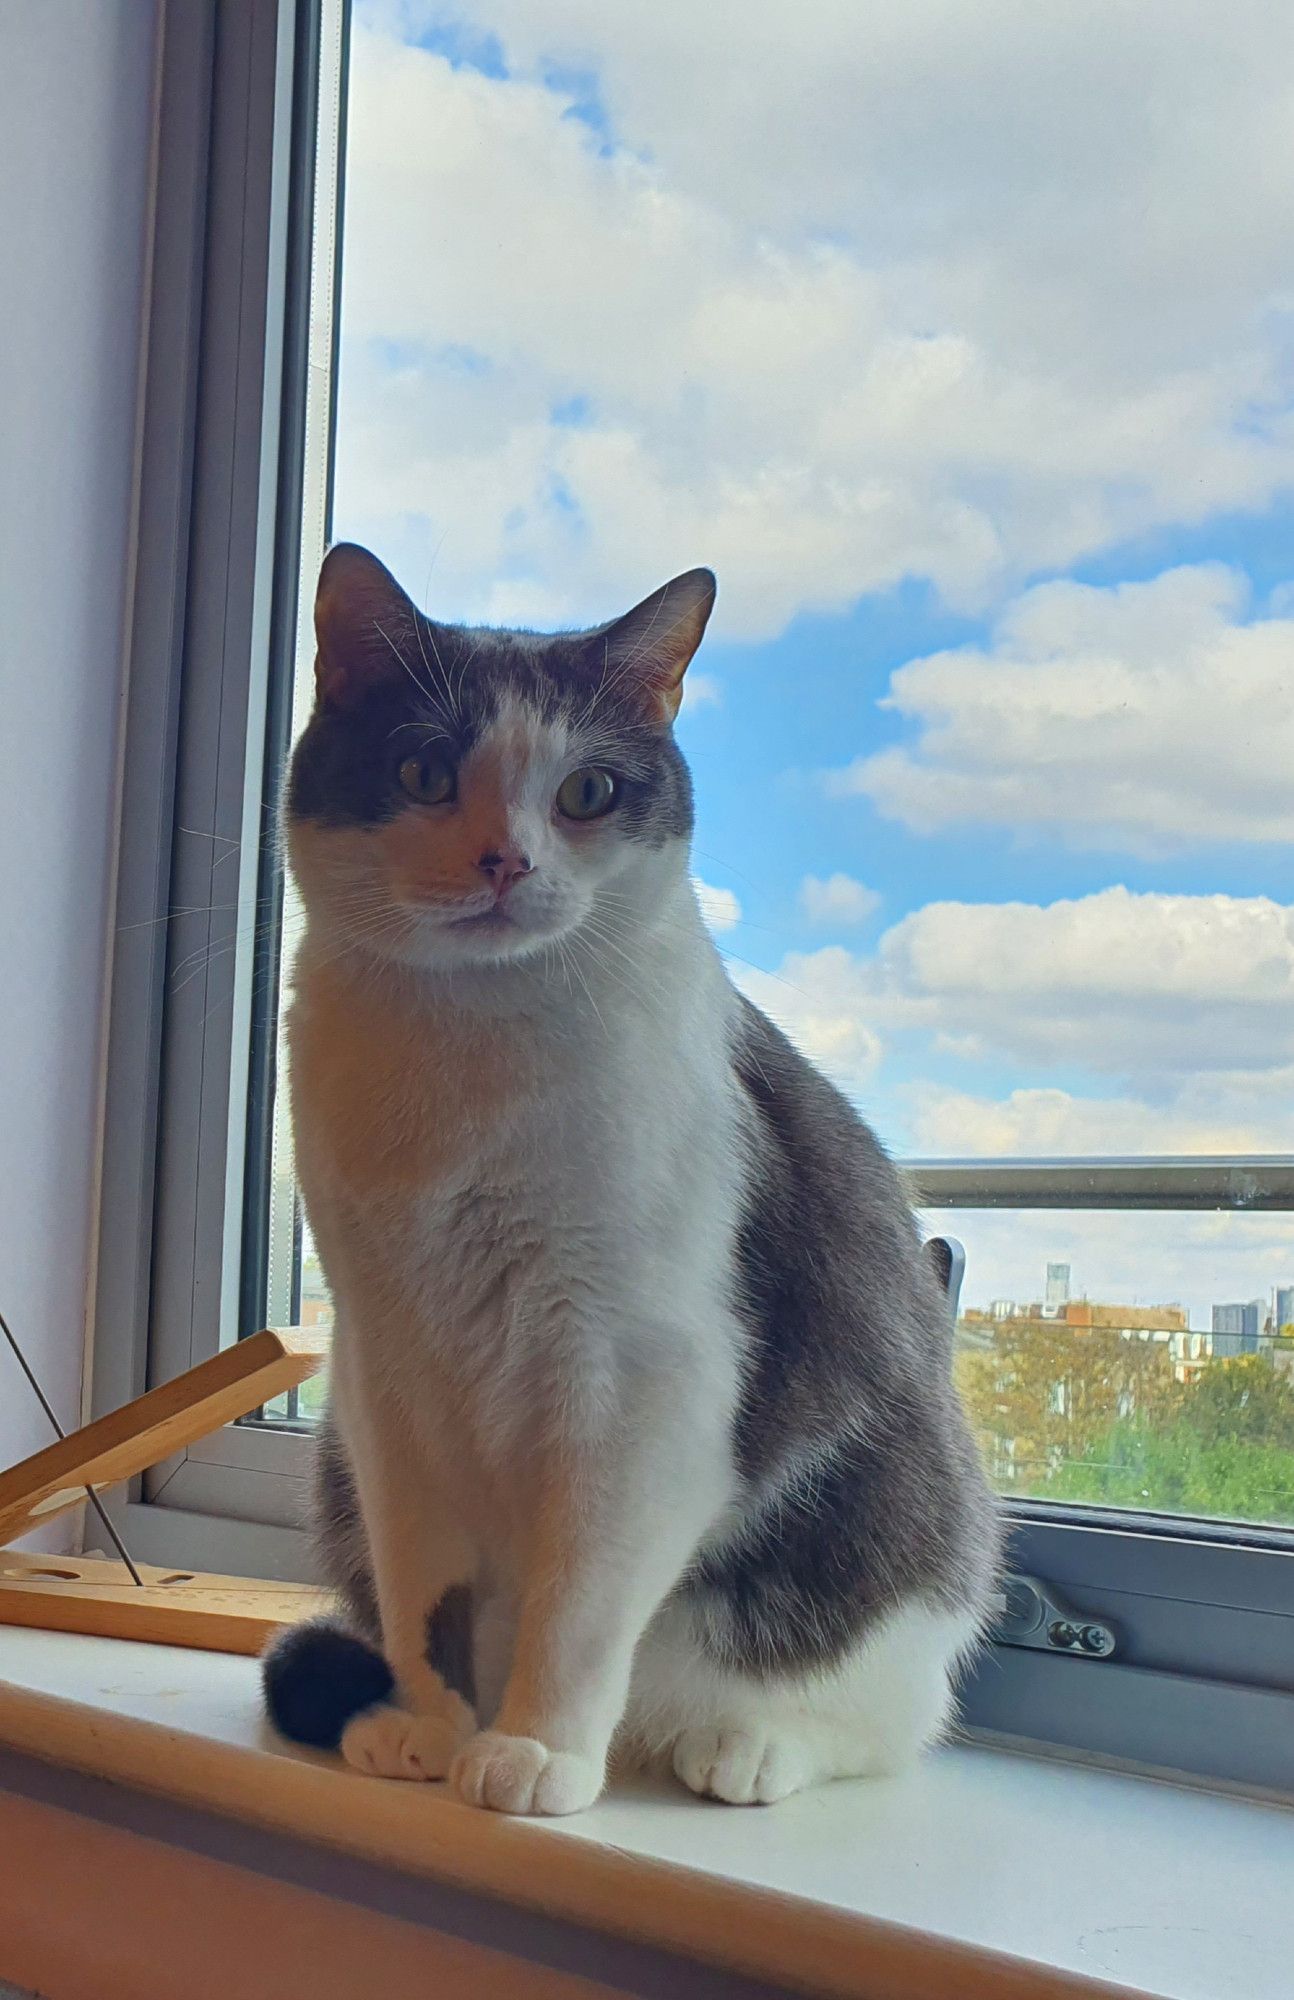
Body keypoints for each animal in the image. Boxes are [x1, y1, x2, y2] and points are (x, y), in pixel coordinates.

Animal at [260, 544, 1004, 1816]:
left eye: (588, 792)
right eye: (422, 770)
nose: (505, 858)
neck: (466, 1058)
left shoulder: (640, 1368)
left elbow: (579, 1596)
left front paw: (533, 1748)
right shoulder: (380, 1357)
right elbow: (419, 1582)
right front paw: (433, 1725)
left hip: (901, 1522)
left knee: (888, 1711)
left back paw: (743, 1740)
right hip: (336, 1458)